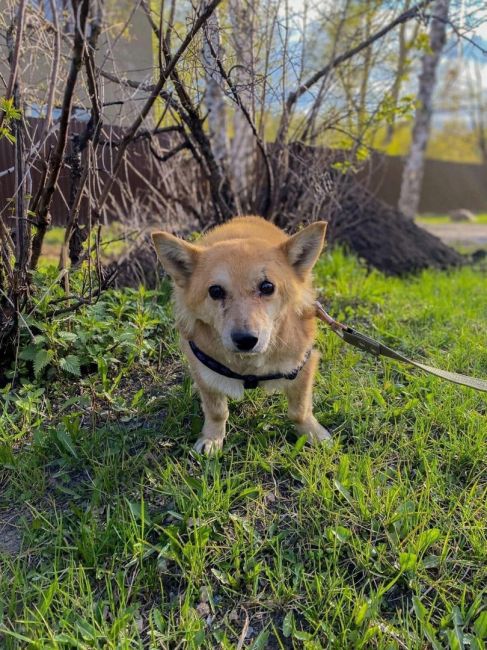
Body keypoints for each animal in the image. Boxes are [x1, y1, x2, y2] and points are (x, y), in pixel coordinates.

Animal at [153, 215, 332, 454]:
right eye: (215, 291)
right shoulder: (204, 372)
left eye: (267, 286)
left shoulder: (303, 366)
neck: (248, 366)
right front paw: (212, 438)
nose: (246, 340)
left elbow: (299, 410)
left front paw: (312, 433)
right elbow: (216, 410)